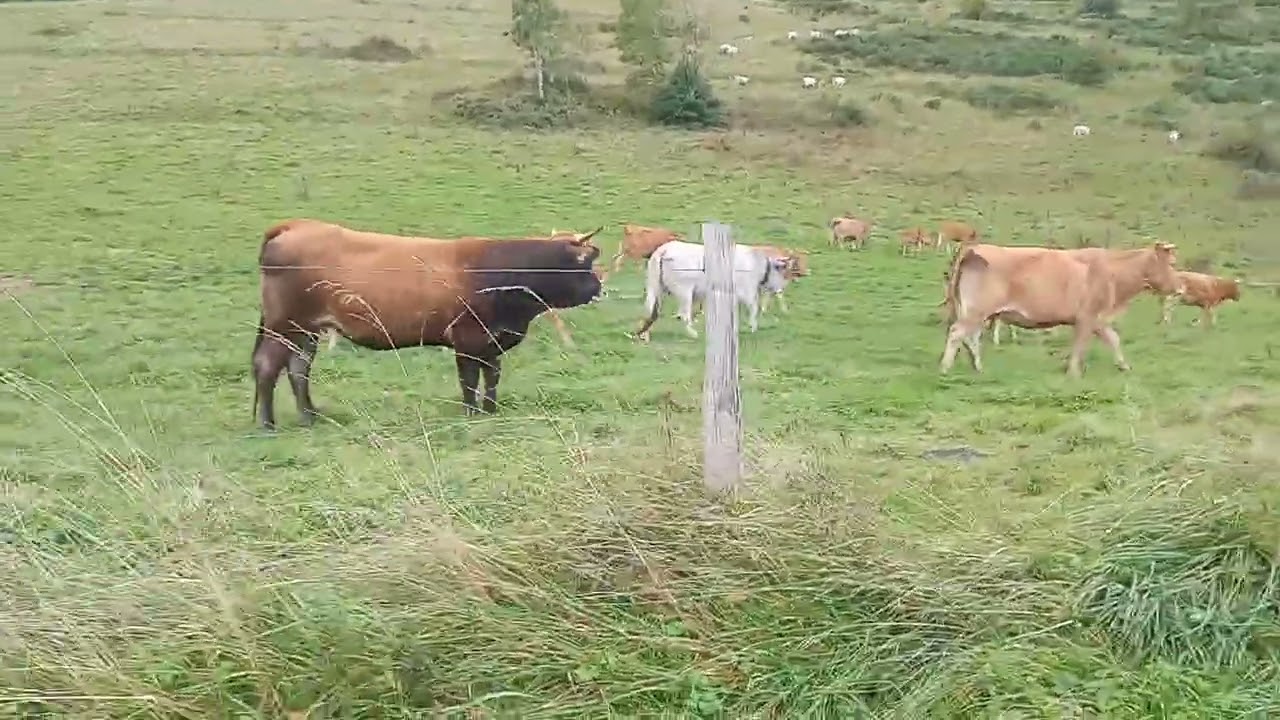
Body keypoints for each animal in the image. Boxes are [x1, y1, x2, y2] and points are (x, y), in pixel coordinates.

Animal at [250, 219, 604, 429]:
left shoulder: (493, 340)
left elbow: (492, 377)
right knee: (268, 366)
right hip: (284, 325)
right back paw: (268, 425)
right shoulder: (468, 338)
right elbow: (469, 381)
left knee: (298, 369)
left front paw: (490, 411)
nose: (600, 288)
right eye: (585, 262)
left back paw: (310, 416)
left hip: (305, 330)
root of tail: (296, 225)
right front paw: (471, 414)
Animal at [633, 240, 791, 342]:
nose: (781, 288)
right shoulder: (747, 292)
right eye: (781, 271)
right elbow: (754, 309)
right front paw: (753, 328)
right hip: (684, 291)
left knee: (651, 310)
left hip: (656, 287)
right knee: (683, 315)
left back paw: (644, 335)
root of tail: (665, 250)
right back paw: (693, 334)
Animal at [939, 242, 1182, 377]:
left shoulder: (1097, 320)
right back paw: (945, 368)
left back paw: (978, 368)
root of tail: (974, 248)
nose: (1181, 287)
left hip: (976, 312)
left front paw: (1123, 366)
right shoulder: (1087, 317)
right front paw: (1073, 373)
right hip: (976, 311)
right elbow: (1080, 346)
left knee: (970, 338)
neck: (1114, 270)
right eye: (1171, 264)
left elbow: (1113, 339)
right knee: (957, 333)